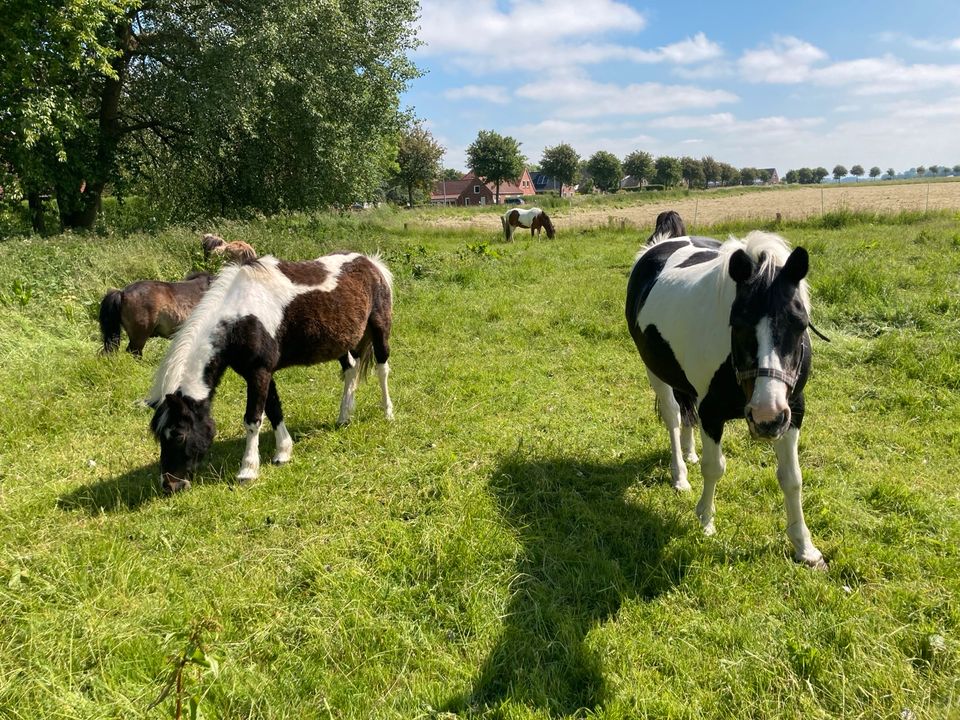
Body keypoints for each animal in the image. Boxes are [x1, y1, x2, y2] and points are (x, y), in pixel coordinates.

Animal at [147, 250, 394, 492]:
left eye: (178, 434)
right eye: (159, 437)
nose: (170, 485)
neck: (240, 318)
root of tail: (371, 263)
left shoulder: (259, 372)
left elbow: (253, 419)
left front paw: (248, 470)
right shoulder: (262, 373)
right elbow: (274, 409)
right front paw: (283, 452)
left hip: (379, 329)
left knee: (382, 370)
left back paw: (387, 413)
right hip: (341, 342)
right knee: (351, 370)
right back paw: (344, 417)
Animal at [632, 225, 824, 568]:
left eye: (799, 323)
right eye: (738, 322)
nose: (766, 417)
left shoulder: (793, 412)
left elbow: (792, 478)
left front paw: (805, 548)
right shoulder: (712, 413)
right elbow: (714, 467)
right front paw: (706, 520)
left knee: (686, 413)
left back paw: (689, 453)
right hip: (656, 372)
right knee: (673, 418)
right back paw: (680, 474)